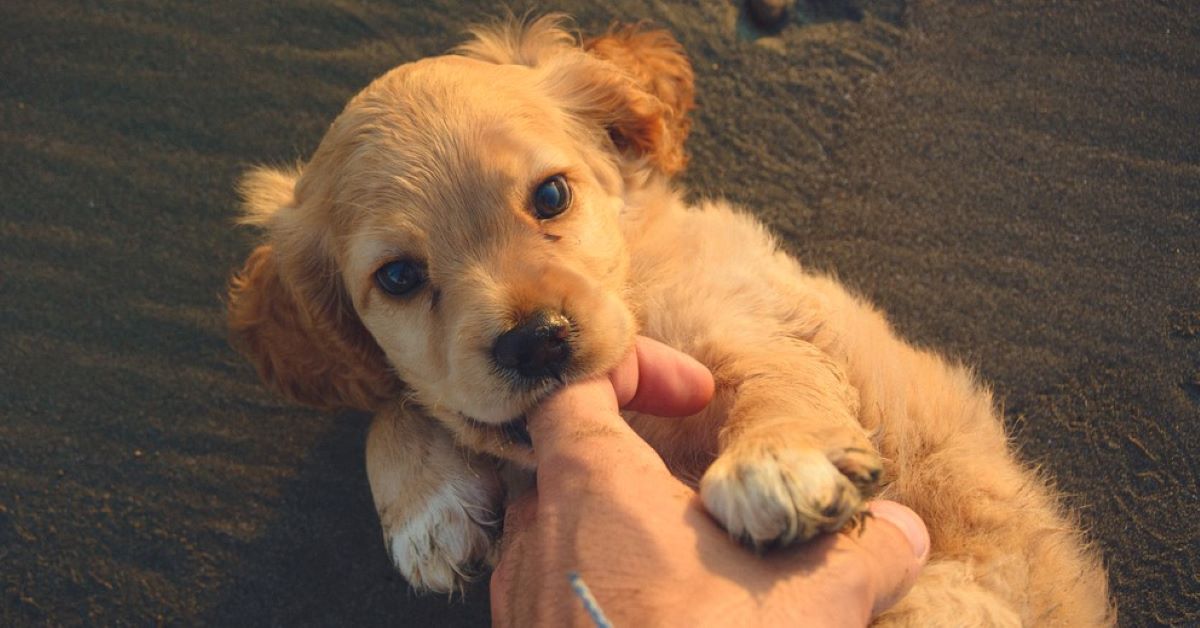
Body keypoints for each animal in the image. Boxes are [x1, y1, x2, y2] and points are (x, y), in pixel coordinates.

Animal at [226, 15, 1113, 628]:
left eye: (552, 195)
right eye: (400, 278)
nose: (537, 340)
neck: (635, 279)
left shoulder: (754, 312)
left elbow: (769, 373)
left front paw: (776, 463)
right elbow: (396, 402)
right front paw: (422, 504)